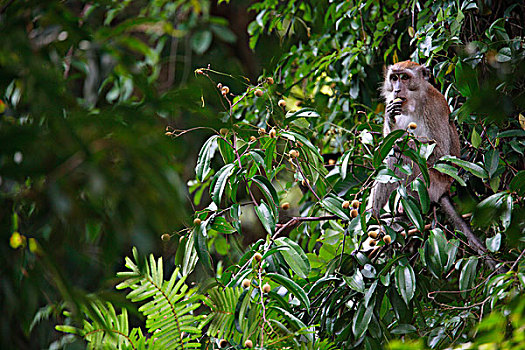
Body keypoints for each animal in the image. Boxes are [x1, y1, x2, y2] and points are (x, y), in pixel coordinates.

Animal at [364, 60, 500, 270]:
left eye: (405, 77)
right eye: (394, 78)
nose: (396, 89)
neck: (414, 102)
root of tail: (444, 190)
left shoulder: (433, 108)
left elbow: (440, 155)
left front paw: (403, 142)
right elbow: (388, 144)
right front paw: (389, 118)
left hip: (431, 184)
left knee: (402, 158)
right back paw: (377, 217)